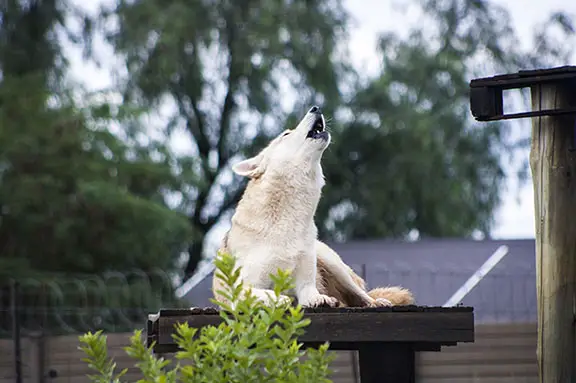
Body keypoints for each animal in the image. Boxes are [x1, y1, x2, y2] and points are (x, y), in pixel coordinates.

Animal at [213, 107, 414, 308]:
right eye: (286, 134)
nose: (316, 108)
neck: (288, 220)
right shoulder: (238, 291)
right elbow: (259, 293)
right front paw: (279, 298)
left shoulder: (306, 285)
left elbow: (310, 293)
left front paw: (320, 299)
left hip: (332, 262)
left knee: (362, 296)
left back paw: (377, 302)